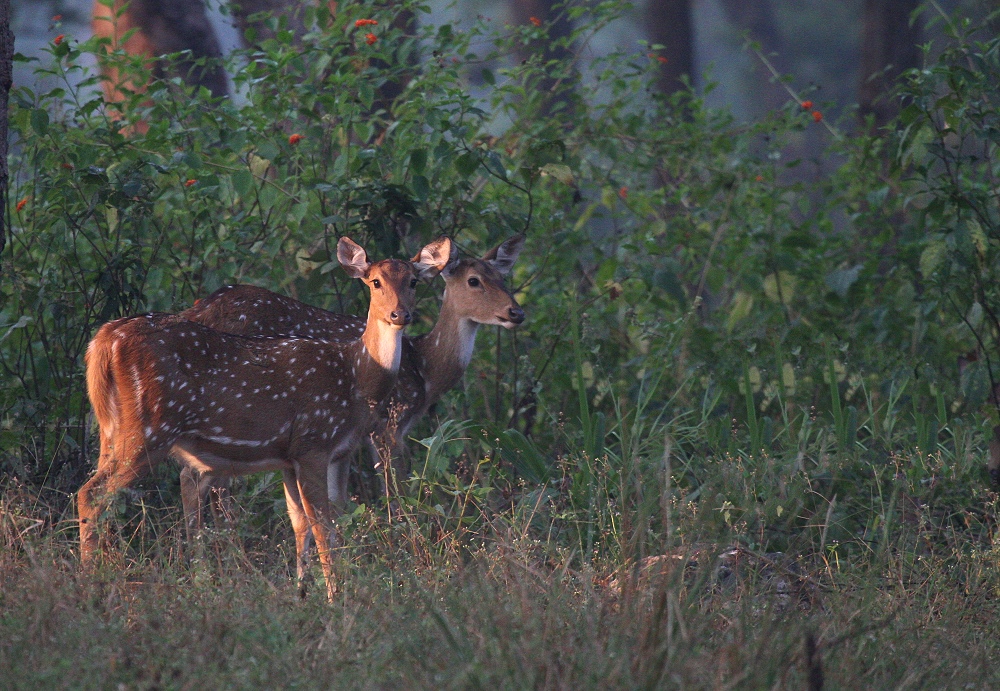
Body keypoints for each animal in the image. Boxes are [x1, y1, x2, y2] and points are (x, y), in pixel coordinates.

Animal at [78, 235, 454, 596]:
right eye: (375, 282)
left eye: (413, 281)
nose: (400, 315)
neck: (356, 377)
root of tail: (102, 341)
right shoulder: (313, 442)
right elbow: (323, 526)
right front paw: (335, 597)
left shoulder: (292, 457)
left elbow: (303, 522)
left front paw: (303, 591)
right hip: (150, 427)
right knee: (92, 495)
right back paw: (94, 580)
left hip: (110, 428)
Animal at [177, 234, 528, 524]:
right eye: (473, 281)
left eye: (503, 277)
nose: (516, 312)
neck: (424, 370)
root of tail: (194, 311)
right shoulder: (387, 425)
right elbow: (395, 495)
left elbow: (338, 503)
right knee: (201, 480)